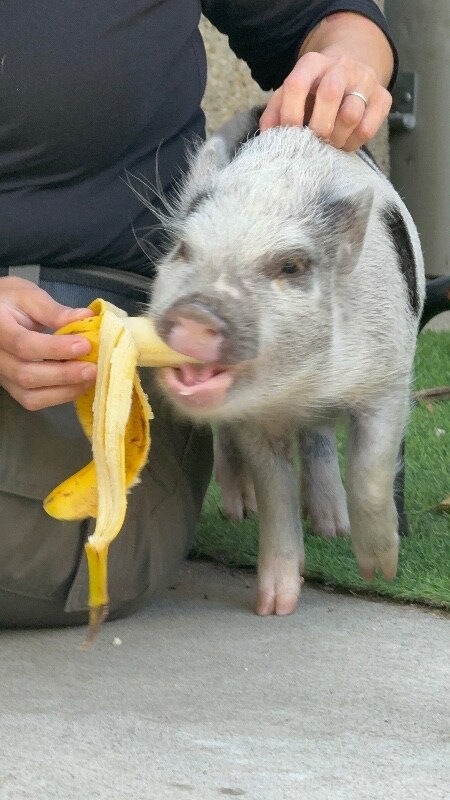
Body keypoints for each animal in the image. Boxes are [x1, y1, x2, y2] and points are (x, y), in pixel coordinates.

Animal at [147, 108, 425, 616]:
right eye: (182, 250)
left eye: (290, 266)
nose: (197, 312)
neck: (302, 387)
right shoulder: (254, 420)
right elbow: (275, 491)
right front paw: (273, 607)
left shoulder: (388, 377)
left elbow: (370, 471)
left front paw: (380, 571)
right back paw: (240, 511)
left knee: (318, 438)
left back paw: (331, 526)